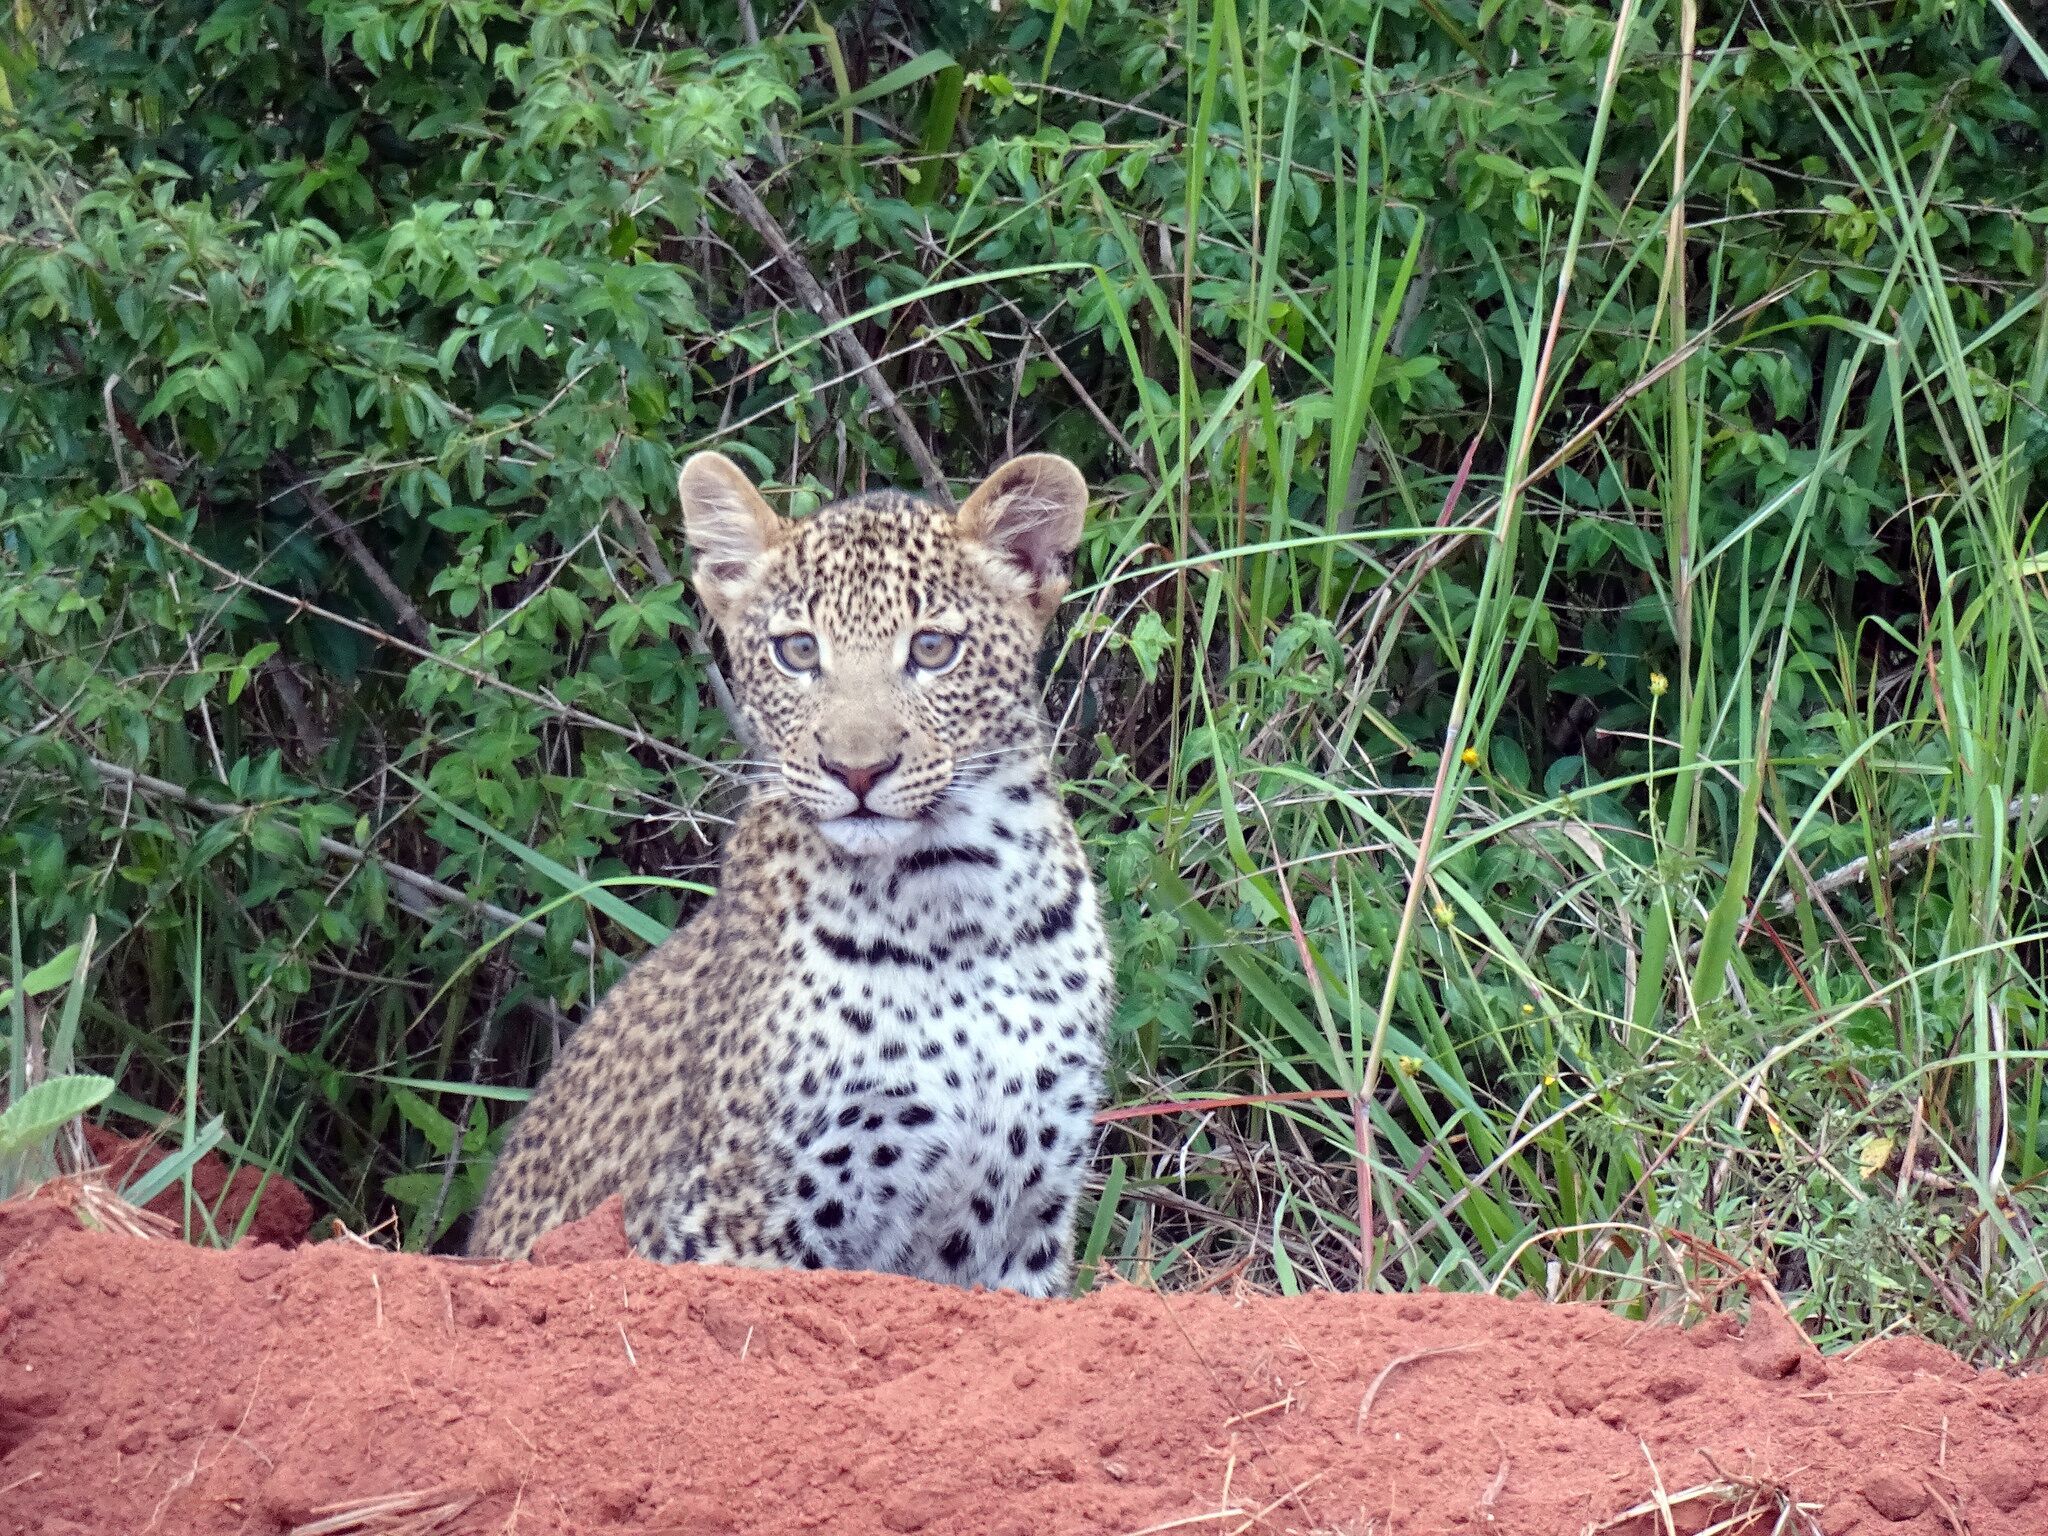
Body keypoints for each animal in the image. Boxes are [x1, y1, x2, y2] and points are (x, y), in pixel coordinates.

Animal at [466, 448, 1114, 1302]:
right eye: (799, 652)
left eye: (933, 649)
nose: (857, 769)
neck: (953, 899)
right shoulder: (744, 1217)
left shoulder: (1020, 1228)